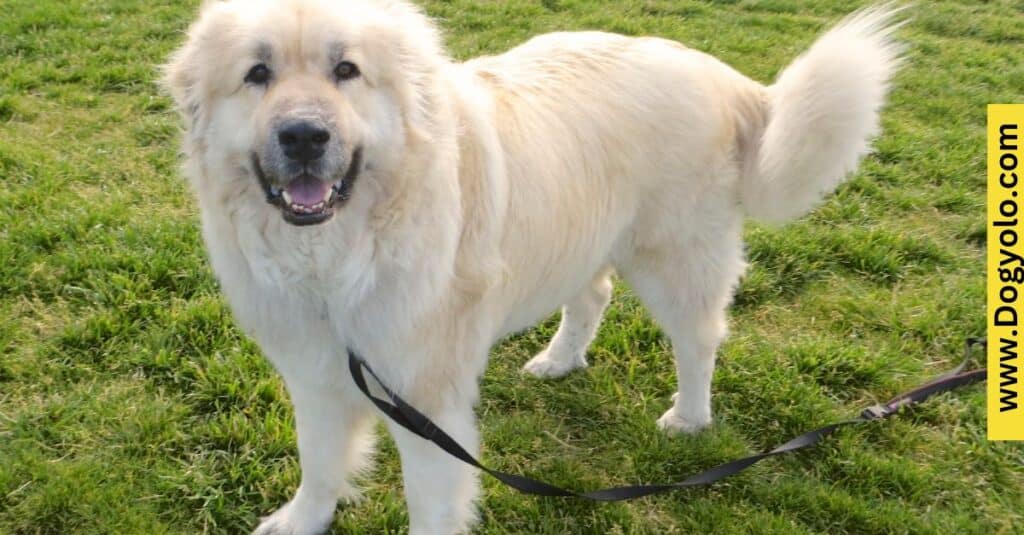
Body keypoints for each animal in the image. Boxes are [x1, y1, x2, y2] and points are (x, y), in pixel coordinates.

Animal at [161, 2, 905, 528]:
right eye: (257, 75)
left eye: (347, 70)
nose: (304, 136)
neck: (338, 255)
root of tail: (721, 75)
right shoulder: (316, 373)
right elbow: (319, 466)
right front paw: (302, 521)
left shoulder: (425, 402)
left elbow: (428, 501)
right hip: (580, 236)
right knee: (595, 297)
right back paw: (558, 360)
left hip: (673, 259)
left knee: (699, 339)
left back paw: (688, 418)